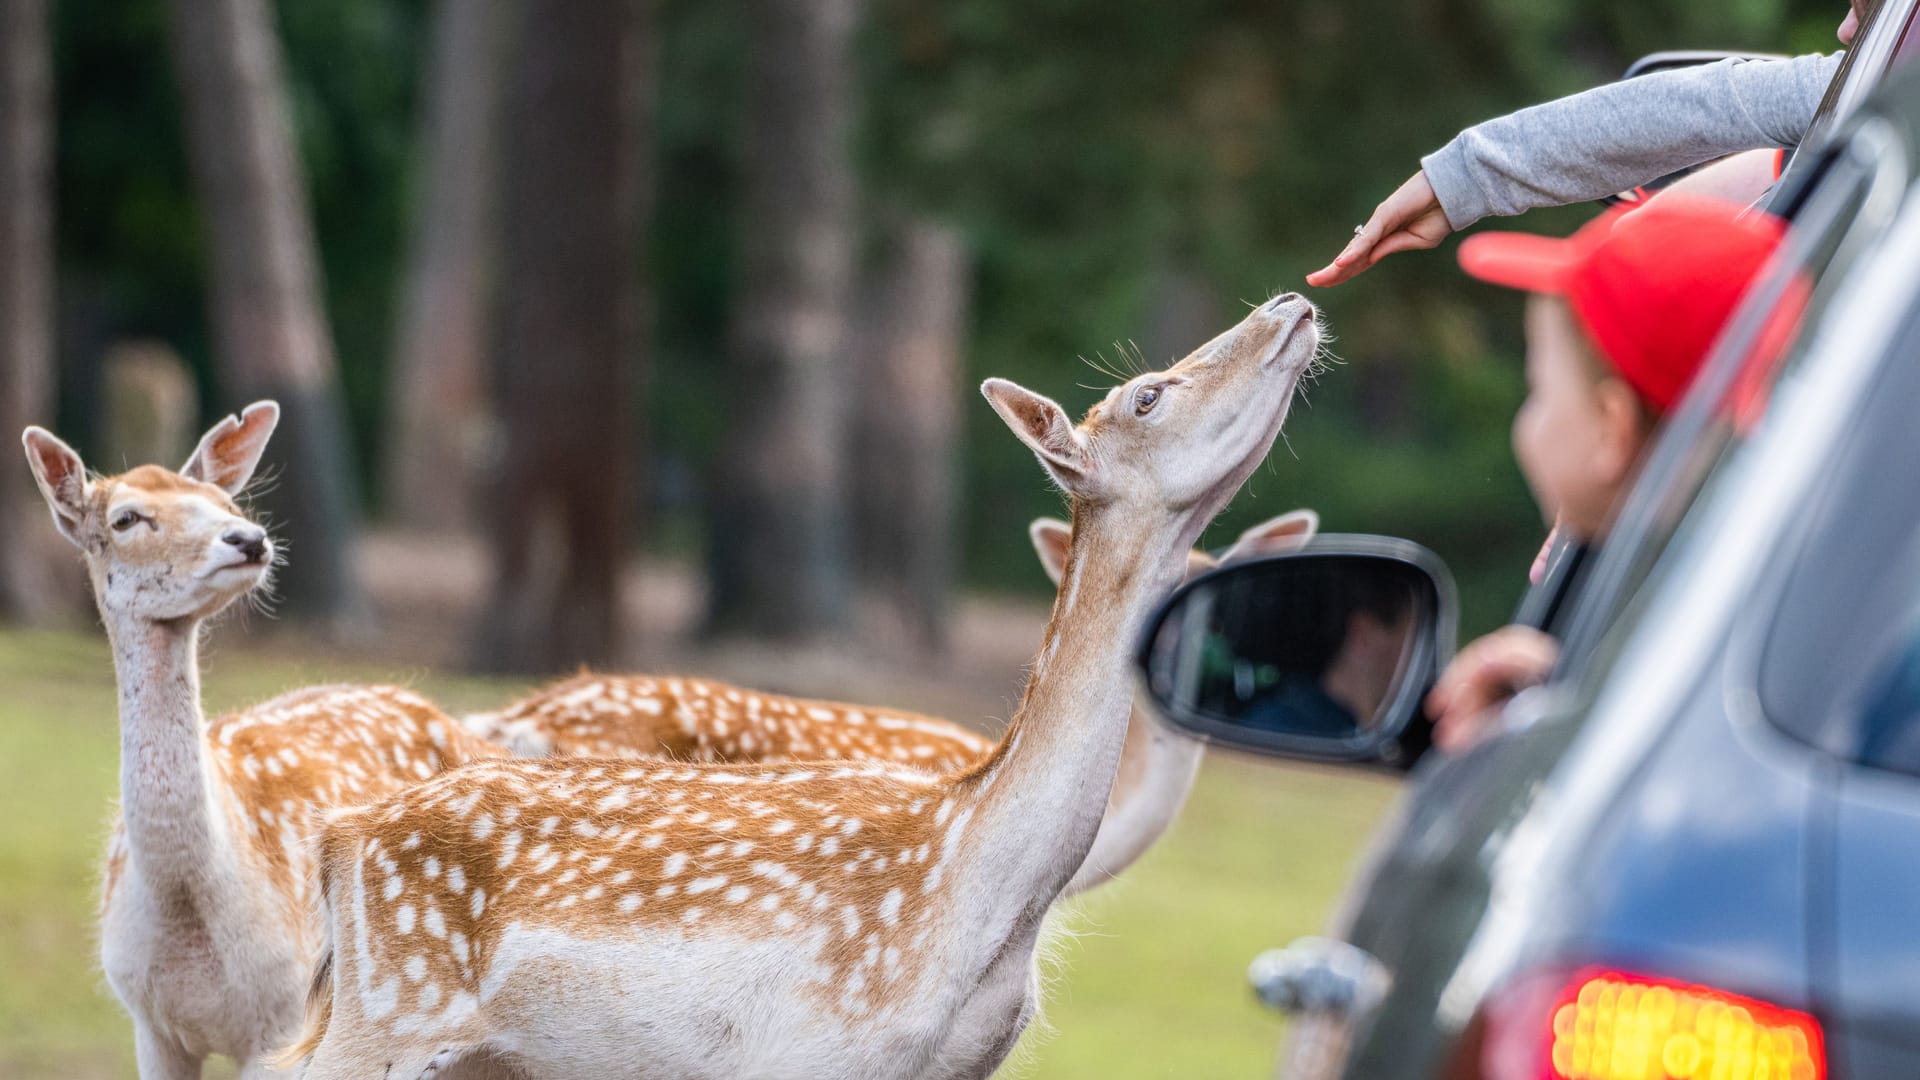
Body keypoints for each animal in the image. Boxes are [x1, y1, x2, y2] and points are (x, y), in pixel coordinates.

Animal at [284, 294, 1328, 1076]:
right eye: (1149, 395)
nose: (1290, 303)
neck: (980, 889)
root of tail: (342, 840)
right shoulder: (816, 1051)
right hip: (386, 1018)